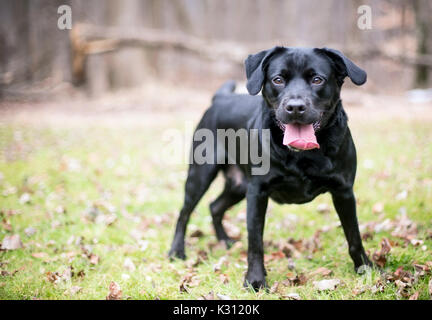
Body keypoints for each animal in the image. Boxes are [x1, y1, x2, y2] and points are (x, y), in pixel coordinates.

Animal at [168, 47, 372, 290]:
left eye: (317, 79)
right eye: (278, 80)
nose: (295, 107)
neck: (302, 154)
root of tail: (221, 97)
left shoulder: (343, 191)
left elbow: (354, 236)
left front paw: (366, 268)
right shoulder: (257, 193)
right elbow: (255, 242)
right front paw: (255, 280)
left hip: (238, 186)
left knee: (215, 206)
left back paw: (225, 241)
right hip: (201, 175)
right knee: (184, 213)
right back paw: (176, 251)